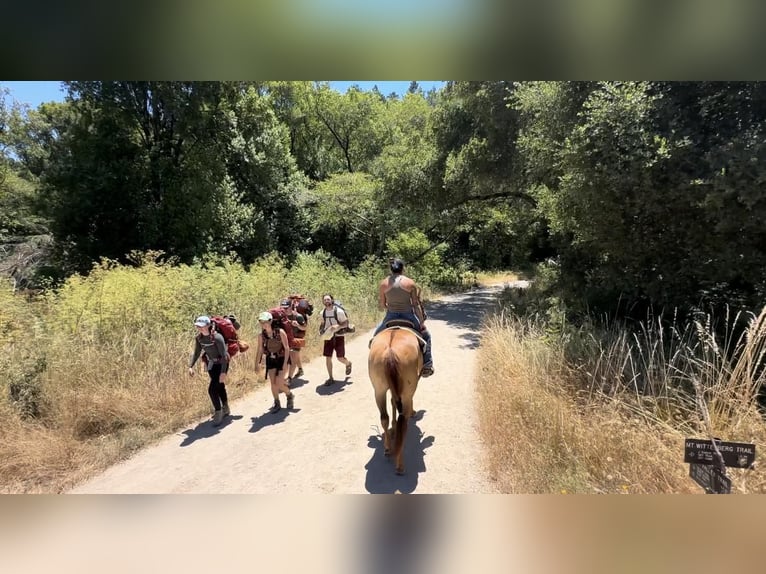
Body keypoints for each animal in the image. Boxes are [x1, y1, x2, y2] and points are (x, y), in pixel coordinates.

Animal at [368, 324, 426, 476]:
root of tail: (390, 351)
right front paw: (412, 412)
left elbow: (393, 402)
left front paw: (392, 429)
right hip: (406, 391)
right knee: (403, 421)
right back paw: (400, 465)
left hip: (379, 389)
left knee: (384, 417)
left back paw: (388, 448)